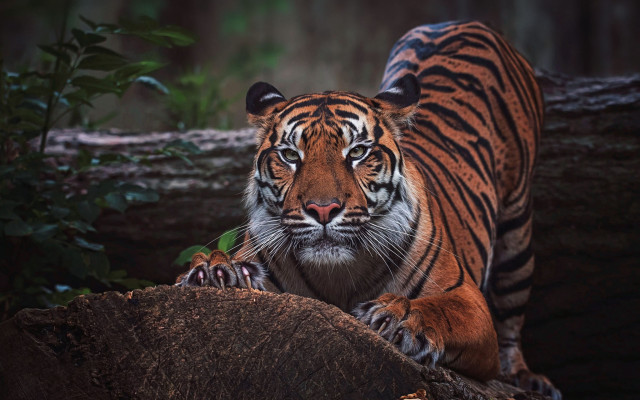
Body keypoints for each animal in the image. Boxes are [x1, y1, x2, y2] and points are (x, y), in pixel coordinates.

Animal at [177, 21, 560, 399]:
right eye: (289, 155)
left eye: (358, 152)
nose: (323, 209)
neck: (337, 275)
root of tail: (460, 22)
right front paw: (216, 271)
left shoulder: (469, 301)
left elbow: (442, 309)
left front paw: (403, 316)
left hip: (516, 234)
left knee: (511, 319)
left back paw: (527, 379)